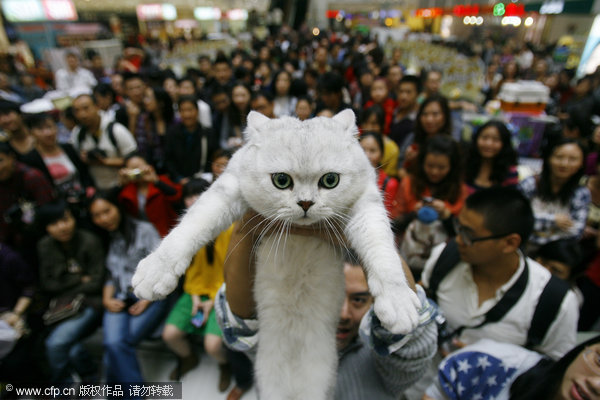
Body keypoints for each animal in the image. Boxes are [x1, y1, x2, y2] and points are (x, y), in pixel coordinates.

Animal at [134, 108, 420, 398]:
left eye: (330, 180)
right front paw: (155, 271)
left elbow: (382, 251)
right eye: (281, 181)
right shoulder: (229, 188)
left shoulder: (366, 204)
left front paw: (398, 302)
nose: (306, 203)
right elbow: (193, 224)